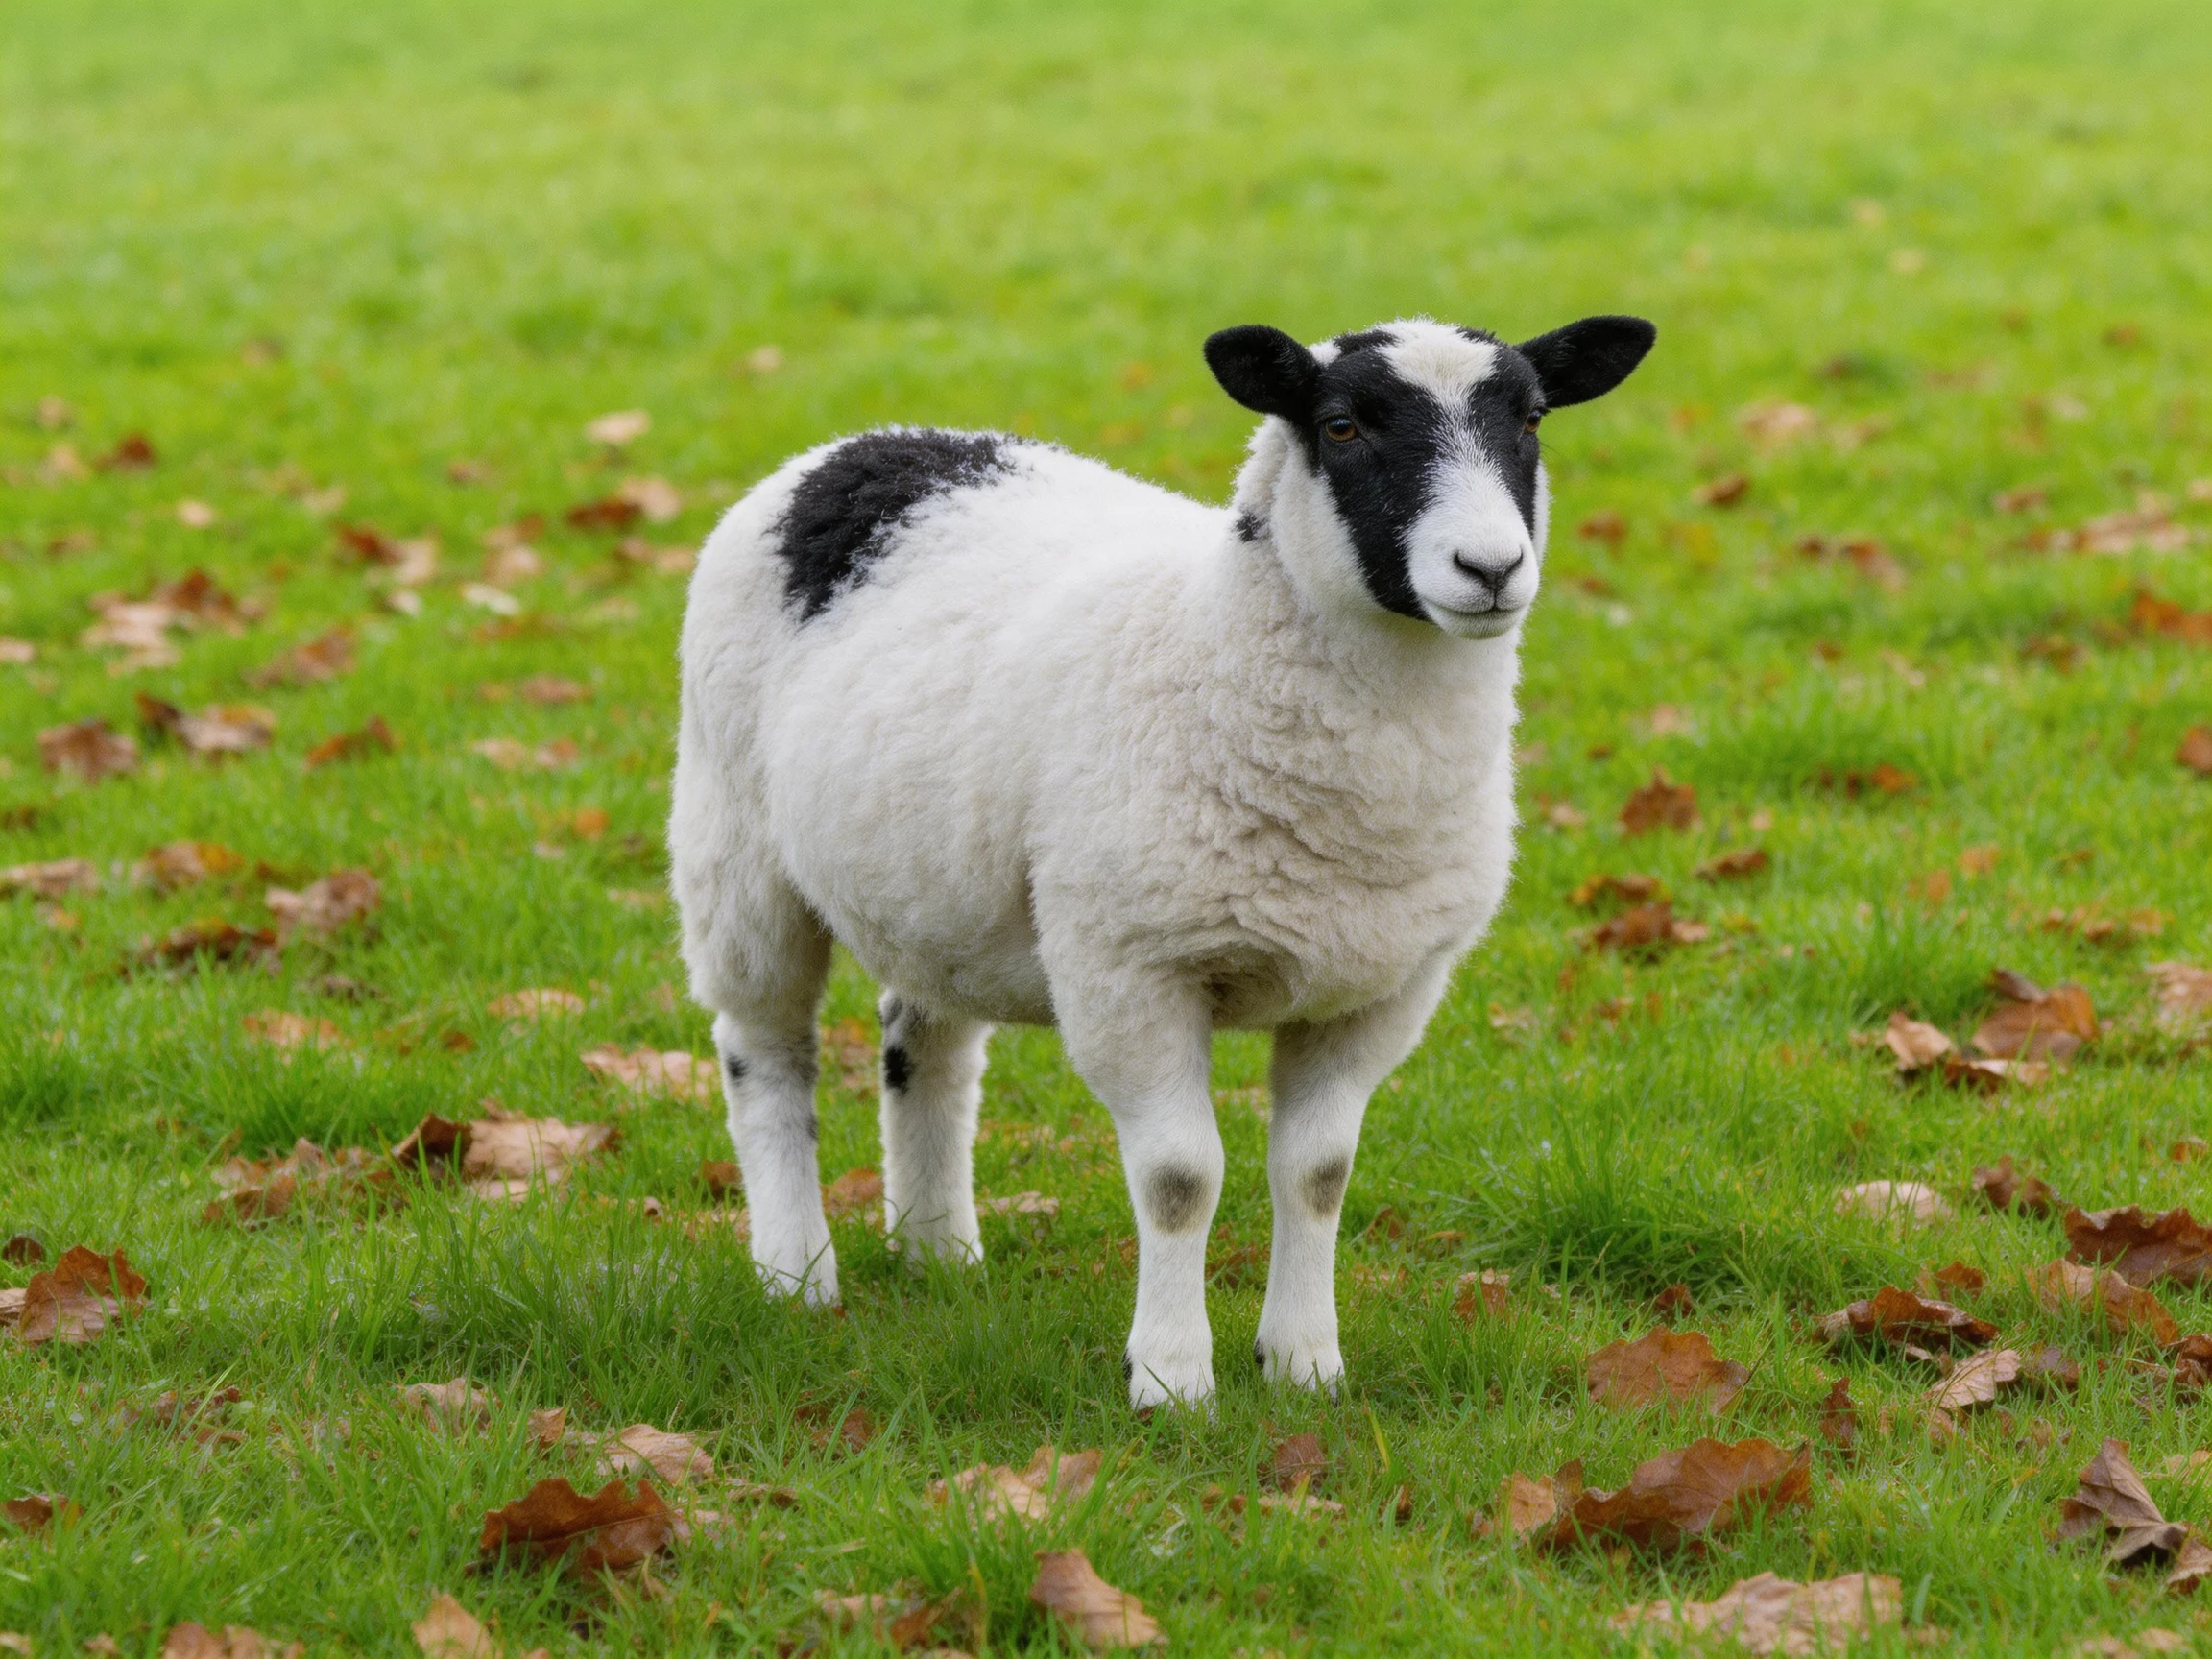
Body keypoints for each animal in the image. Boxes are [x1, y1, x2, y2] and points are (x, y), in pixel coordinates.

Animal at [670, 313, 1656, 1408]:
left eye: (1532, 418)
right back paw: (795, 1274)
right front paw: (1175, 1379)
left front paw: (1304, 1363)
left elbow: (1318, 1173)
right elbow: (1181, 1179)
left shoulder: (1380, 987)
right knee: (765, 1053)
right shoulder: (1132, 966)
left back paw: (940, 1254)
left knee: (925, 1048)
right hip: (732, 840)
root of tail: (864, 447)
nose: (1489, 568)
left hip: (936, 882)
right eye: (1342, 425)